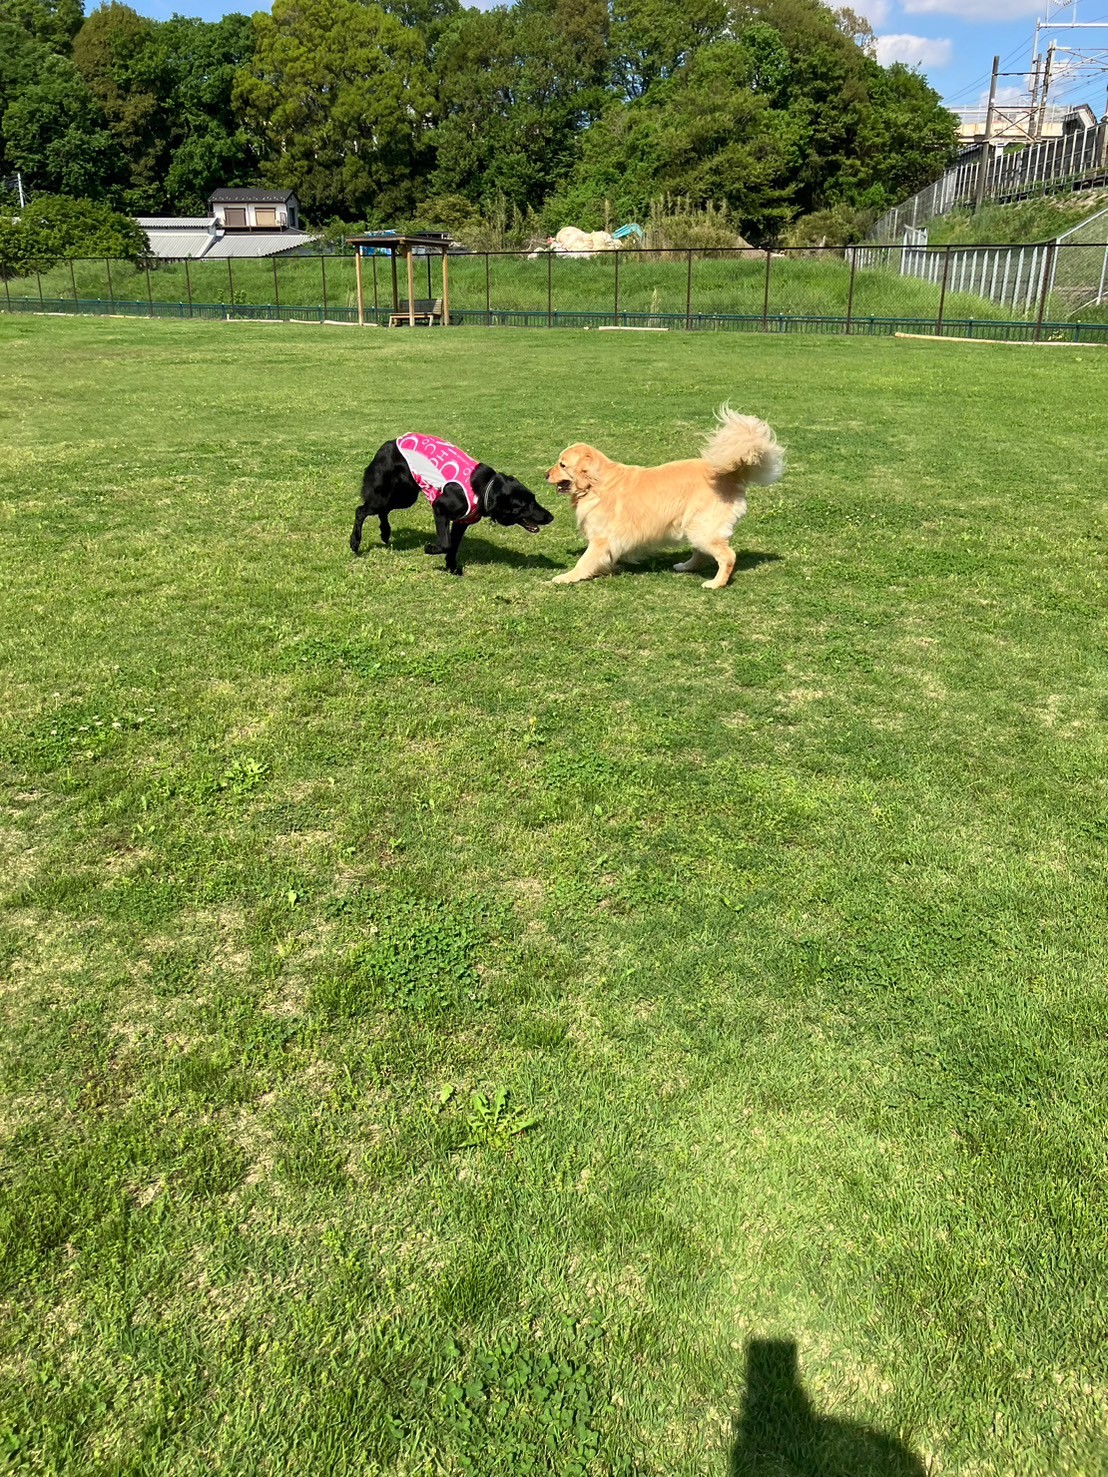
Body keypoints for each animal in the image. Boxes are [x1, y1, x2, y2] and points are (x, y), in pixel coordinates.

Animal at [350, 433, 553, 576]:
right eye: (524, 505)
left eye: (534, 498)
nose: (551, 517)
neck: (485, 489)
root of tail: (389, 443)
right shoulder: (440, 509)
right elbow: (446, 543)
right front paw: (431, 549)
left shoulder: (461, 522)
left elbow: (453, 547)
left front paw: (452, 568)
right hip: (387, 495)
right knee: (361, 510)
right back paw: (355, 542)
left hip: (405, 496)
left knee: (382, 511)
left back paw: (385, 533)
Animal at [546, 407, 783, 589]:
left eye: (562, 465)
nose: (545, 474)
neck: (597, 485)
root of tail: (730, 474)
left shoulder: (601, 539)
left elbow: (584, 561)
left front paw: (566, 577)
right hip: (693, 527)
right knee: (701, 554)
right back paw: (685, 567)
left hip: (702, 529)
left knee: (728, 556)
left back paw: (716, 583)